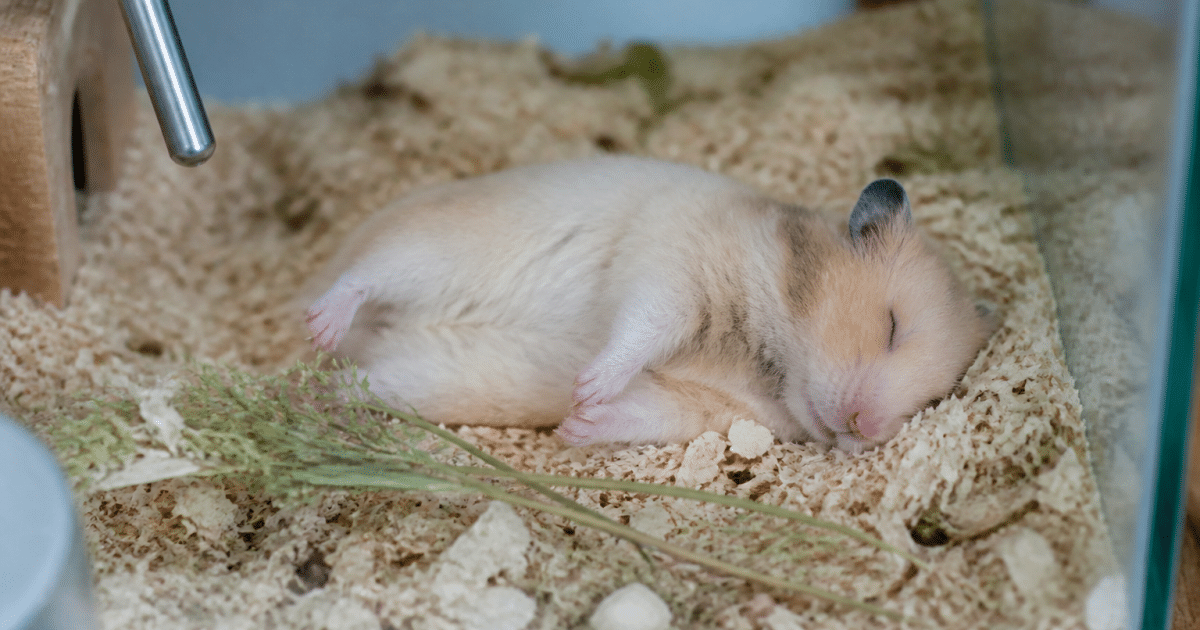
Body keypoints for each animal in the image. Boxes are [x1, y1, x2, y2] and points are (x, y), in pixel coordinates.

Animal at [305, 156, 993, 452]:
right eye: (892, 326)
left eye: (933, 398)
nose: (863, 430)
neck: (768, 356)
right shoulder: (678, 272)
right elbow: (642, 328)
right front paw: (589, 385)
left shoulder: (708, 410)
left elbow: (641, 411)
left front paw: (578, 420)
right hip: (435, 252)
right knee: (364, 277)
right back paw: (320, 325)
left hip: (413, 376)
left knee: (361, 376)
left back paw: (315, 391)